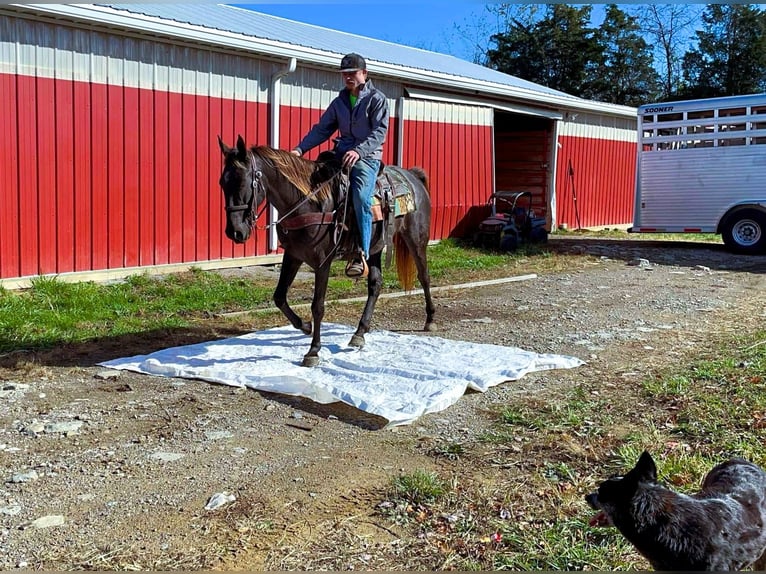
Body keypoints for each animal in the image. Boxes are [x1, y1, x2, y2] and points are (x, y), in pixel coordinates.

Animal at [219, 137, 436, 366]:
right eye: (223, 183)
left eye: (242, 182)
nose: (235, 232)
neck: (310, 203)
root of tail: (412, 176)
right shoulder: (293, 255)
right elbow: (279, 297)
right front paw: (305, 327)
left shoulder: (322, 262)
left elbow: (318, 306)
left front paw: (313, 351)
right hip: (375, 247)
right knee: (375, 285)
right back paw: (360, 332)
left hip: (416, 240)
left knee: (424, 276)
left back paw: (430, 319)